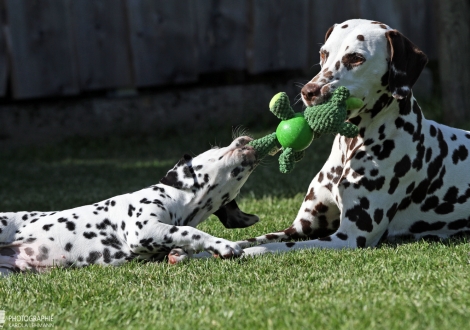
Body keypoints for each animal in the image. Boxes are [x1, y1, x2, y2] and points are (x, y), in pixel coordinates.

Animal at [0, 135, 260, 274]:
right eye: (216, 147)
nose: (245, 138)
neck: (174, 198)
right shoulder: (142, 230)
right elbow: (191, 232)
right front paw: (224, 245)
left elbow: (185, 243)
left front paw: (179, 253)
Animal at [235, 18, 470, 255]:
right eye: (323, 53)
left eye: (356, 58)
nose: (308, 91)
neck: (352, 145)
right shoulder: (301, 227)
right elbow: (257, 239)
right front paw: (231, 245)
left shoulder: (349, 237)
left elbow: (272, 247)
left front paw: (246, 253)